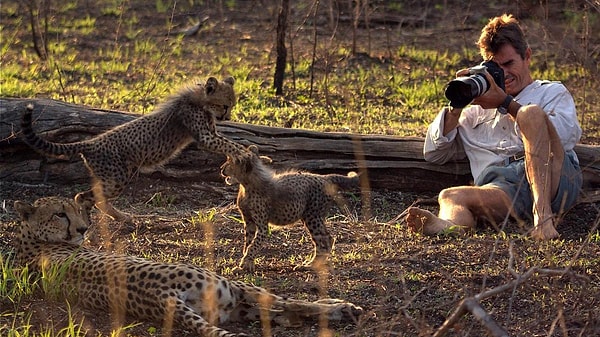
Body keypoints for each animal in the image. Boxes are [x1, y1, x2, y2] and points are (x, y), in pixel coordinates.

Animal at [12, 194, 360, 336]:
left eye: (76, 211)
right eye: (60, 213)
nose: (83, 229)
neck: (32, 241)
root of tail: (161, 296)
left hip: (226, 307)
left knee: (276, 313)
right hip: (229, 287)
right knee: (287, 304)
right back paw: (342, 307)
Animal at [20, 77, 246, 223]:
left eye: (231, 105)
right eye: (225, 105)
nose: (227, 117)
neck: (200, 100)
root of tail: (91, 142)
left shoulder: (211, 133)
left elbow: (227, 143)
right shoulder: (205, 136)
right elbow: (229, 143)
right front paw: (245, 152)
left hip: (110, 177)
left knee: (97, 198)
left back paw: (123, 217)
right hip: (116, 178)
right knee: (82, 197)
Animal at [221, 144, 358, 270]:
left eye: (229, 161)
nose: (221, 168)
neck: (246, 184)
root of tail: (324, 177)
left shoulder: (262, 226)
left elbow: (254, 244)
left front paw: (246, 262)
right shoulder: (248, 221)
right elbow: (248, 242)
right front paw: (248, 263)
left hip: (312, 216)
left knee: (324, 239)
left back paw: (311, 265)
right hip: (312, 217)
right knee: (327, 238)